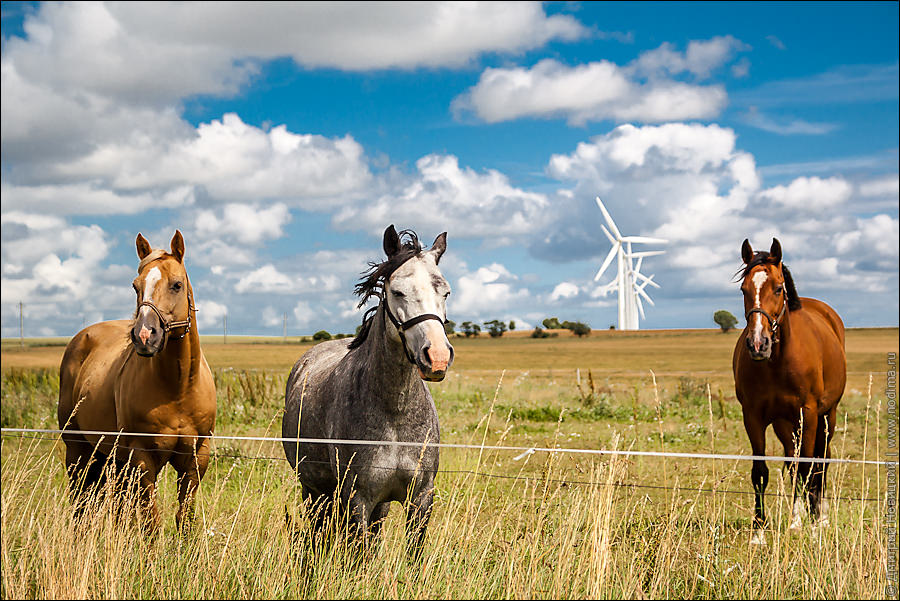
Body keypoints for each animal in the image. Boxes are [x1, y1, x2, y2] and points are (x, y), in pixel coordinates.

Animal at [57, 231, 216, 532]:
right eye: (135, 286)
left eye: (177, 285)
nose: (144, 336)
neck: (178, 388)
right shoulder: (142, 458)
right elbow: (151, 522)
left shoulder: (196, 459)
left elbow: (184, 518)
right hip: (78, 450)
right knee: (81, 503)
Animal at [282, 225, 454, 558]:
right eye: (397, 291)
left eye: (446, 292)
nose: (437, 357)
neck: (395, 412)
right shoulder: (358, 499)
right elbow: (358, 555)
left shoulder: (420, 499)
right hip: (313, 490)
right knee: (317, 531)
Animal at [732, 238, 846, 544]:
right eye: (744, 289)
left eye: (778, 288)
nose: (758, 344)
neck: (777, 362)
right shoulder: (753, 416)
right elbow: (760, 471)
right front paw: (759, 529)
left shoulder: (809, 414)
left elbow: (807, 469)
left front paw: (804, 525)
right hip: (786, 425)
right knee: (794, 463)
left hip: (826, 417)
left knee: (820, 462)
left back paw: (820, 518)